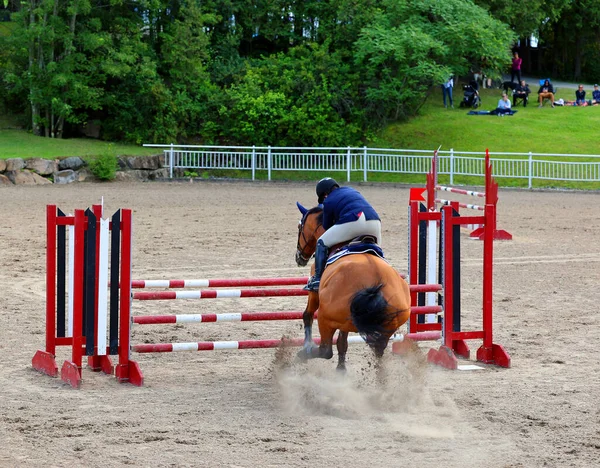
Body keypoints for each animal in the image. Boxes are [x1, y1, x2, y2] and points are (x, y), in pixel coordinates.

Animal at [296, 201, 412, 370]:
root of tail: (375, 287)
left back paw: (304, 354)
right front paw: (341, 369)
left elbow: (307, 315)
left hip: (325, 317)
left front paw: (306, 346)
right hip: (384, 325)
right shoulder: (344, 322)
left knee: (326, 350)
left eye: (300, 227)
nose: (299, 258)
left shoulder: (315, 293)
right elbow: (342, 343)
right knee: (378, 351)